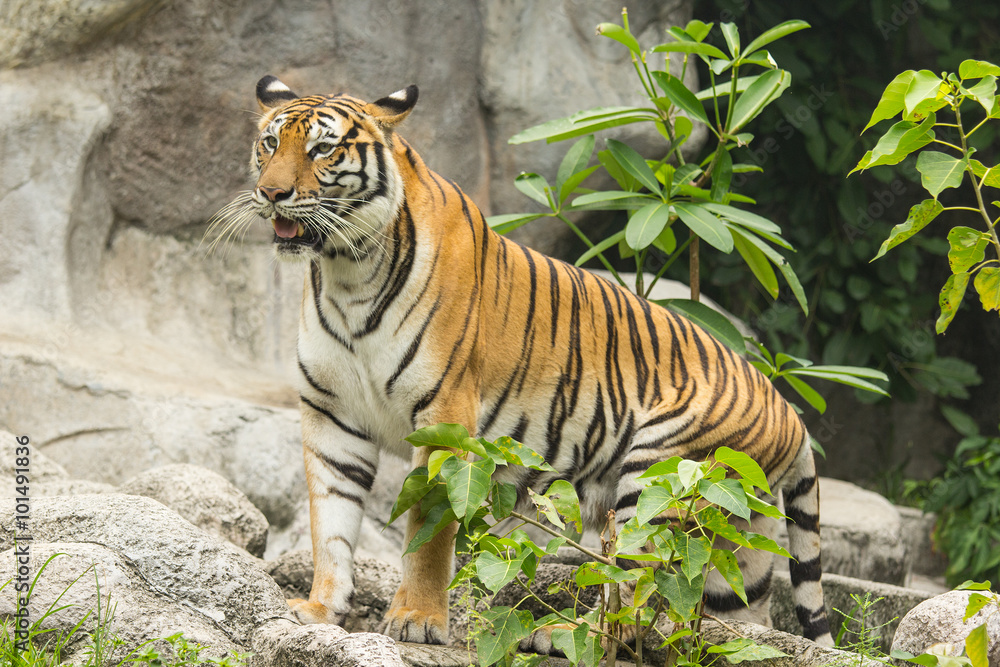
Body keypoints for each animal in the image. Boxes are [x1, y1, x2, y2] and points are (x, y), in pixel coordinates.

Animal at [208, 74, 833, 649]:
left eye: (322, 150)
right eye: (270, 144)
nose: (271, 193)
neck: (347, 270)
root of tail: (790, 411)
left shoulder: (445, 415)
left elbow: (430, 525)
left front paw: (417, 619)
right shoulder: (331, 413)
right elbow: (330, 522)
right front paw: (320, 609)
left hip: (661, 472)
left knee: (644, 590)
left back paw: (558, 634)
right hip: (732, 540)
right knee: (709, 617)